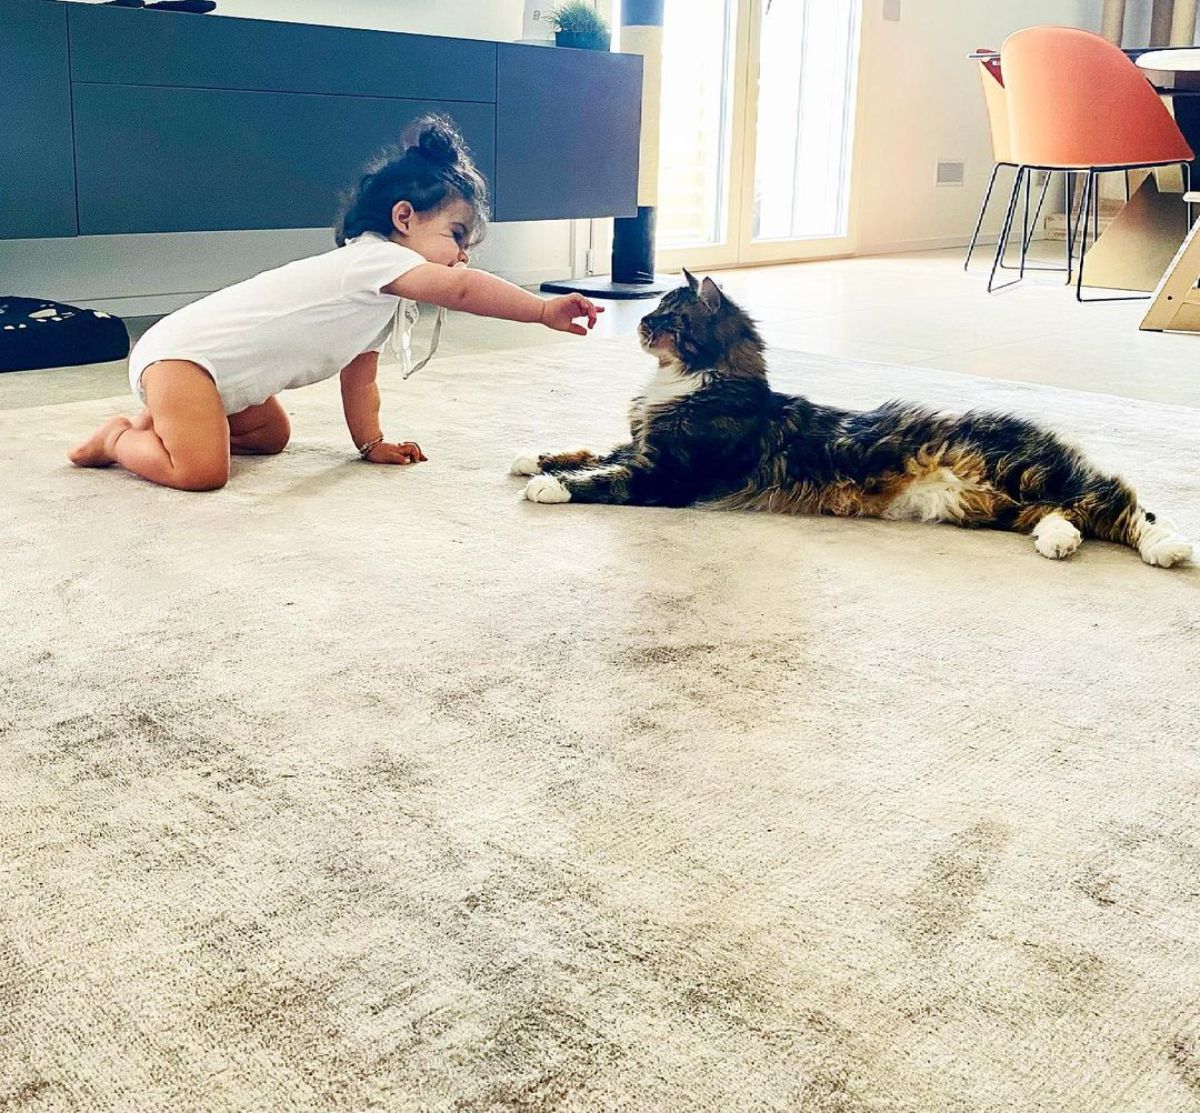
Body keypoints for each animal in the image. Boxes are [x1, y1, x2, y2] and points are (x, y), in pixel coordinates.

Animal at [513, 268, 1190, 566]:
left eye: (670, 317)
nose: (643, 322)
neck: (686, 384)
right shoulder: (641, 443)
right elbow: (588, 448)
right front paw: (531, 458)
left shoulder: (668, 470)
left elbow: (603, 477)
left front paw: (548, 487)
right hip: (1000, 505)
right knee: (1071, 516)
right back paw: (1058, 541)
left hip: (1030, 476)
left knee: (1123, 504)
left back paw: (1169, 548)